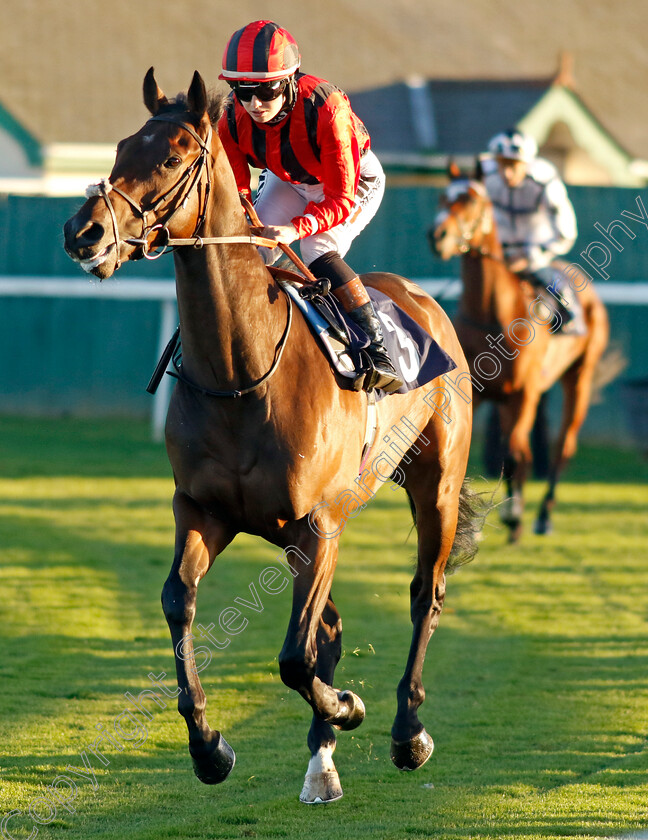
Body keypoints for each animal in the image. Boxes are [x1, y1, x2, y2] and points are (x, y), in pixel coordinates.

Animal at [63, 70, 478, 800]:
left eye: (173, 157)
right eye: (119, 148)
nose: (82, 233)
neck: (242, 371)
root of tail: (424, 301)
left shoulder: (319, 523)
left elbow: (292, 657)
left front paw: (348, 707)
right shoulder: (204, 511)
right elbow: (180, 603)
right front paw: (210, 748)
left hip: (436, 489)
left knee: (423, 596)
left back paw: (407, 732)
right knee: (330, 627)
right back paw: (322, 762)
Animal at [430, 174, 608, 540]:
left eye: (471, 200)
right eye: (442, 196)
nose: (437, 235)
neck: (493, 314)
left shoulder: (525, 393)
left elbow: (513, 455)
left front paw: (513, 516)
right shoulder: (480, 394)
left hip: (578, 378)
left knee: (560, 447)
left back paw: (541, 516)